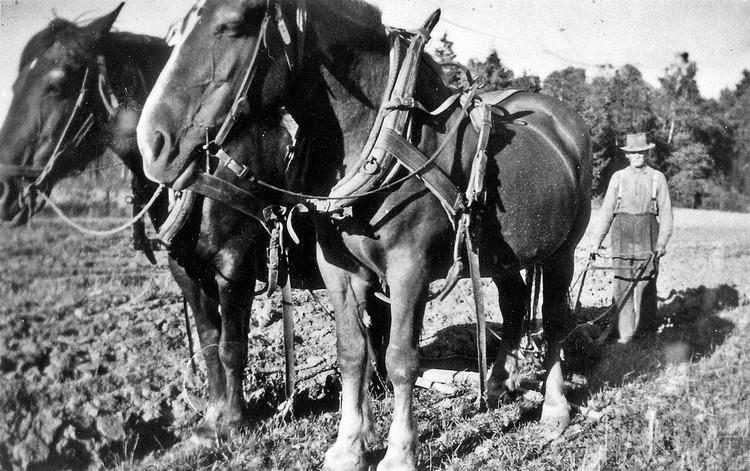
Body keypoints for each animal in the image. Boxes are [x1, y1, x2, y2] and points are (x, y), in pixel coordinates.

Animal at [135, 1, 592, 470]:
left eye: (233, 24)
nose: (153, 144)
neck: (380, 137)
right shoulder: (337, 269)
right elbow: (352, 353)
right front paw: (348, 446)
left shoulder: (408, 270)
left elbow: (401, 359)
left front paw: (399, 452)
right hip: (501, 254)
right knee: (514, 302)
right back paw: (500, 383)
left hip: (565, 248)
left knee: (555, 319)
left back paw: (554, 409)